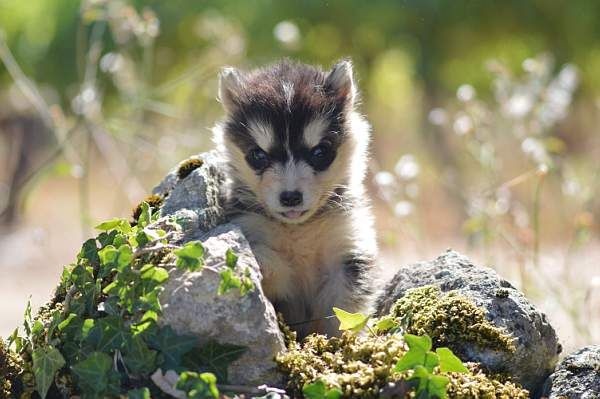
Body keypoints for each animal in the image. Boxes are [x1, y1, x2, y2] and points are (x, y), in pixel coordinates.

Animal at [213, 61, 378, 340]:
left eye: (320, 152)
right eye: (258, 155)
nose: (290, 197)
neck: (299, 230)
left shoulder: (347, 249)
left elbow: (342, 309)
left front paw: (343, 342)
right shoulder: (250, 225)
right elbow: (275, 268)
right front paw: (263, 263)